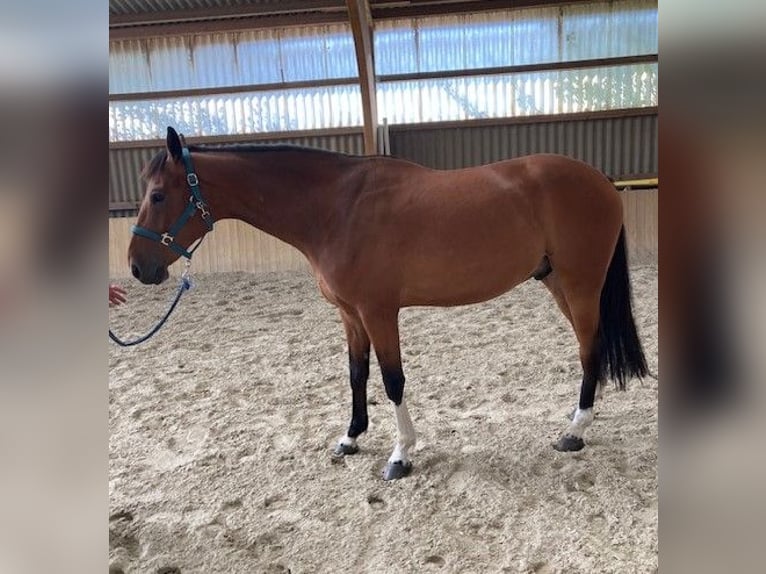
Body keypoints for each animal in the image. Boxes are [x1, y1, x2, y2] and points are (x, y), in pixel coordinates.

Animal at [130, 128, 648, 484]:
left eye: (157, 195)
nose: (137, 267)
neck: (336, 208)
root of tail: (600, 179)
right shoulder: (350, 314)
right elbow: (357, 374)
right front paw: (350, 437)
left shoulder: (378, 312)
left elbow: (392, 380)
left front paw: (401, 455)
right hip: (558, 282)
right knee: (592, 350)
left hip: (579, 285)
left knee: (589, 350)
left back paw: (575, 431)